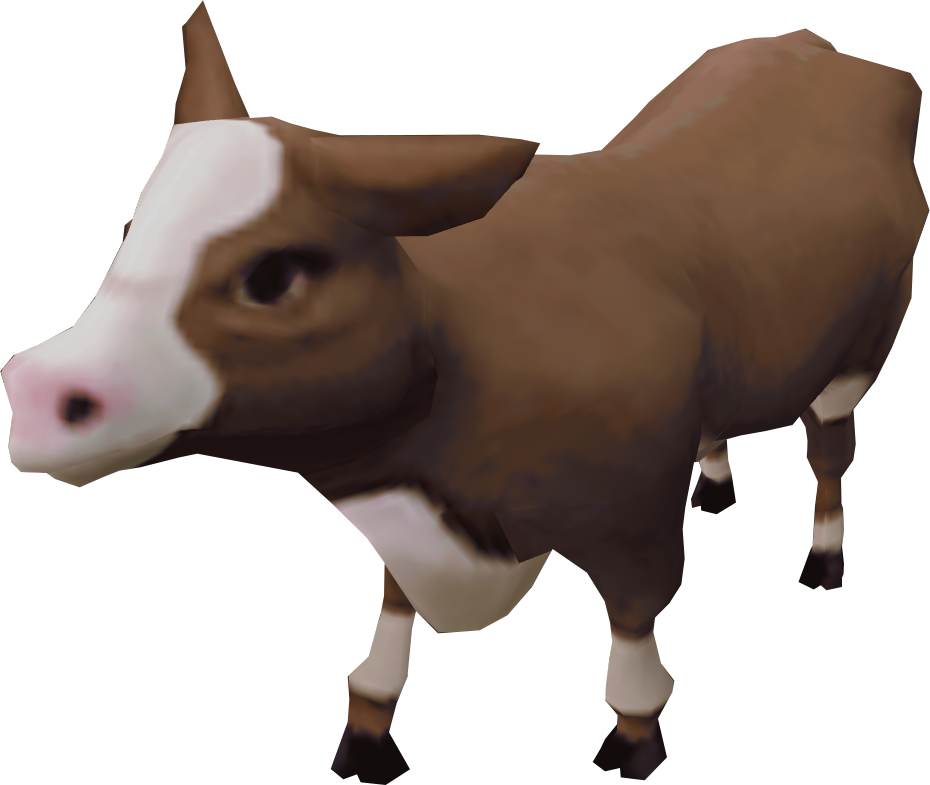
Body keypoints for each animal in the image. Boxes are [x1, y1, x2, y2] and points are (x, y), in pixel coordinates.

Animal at [3, 1, 926, 782]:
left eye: (274, 274)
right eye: (136, 230)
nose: (37, 391)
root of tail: (822, 51)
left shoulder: (633, 519)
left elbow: (636, 634)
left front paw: (636, 739)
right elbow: (387, 627)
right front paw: (369, 728)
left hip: (868, 335)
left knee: (831, 448)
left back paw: (825, 557)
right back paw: (717, 479)